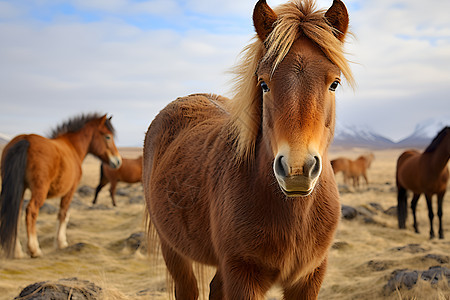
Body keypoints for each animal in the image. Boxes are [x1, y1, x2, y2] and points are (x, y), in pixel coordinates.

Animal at [0, 113, 121, 258]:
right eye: (108, 136)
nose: (118, 161)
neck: (72, 147)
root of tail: (25, 139)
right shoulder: (70, 190)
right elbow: (63, 214)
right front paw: (61, 243)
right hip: (39, 191)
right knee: (31, 211)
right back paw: (34, 249)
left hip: (19, 189)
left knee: (14, 214)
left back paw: (17, 252)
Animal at [142, 0, 354, 298]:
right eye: (263, 83)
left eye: (334, 83)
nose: (297, 170)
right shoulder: (242, 275)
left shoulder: (309, 276)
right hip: (172, 248)